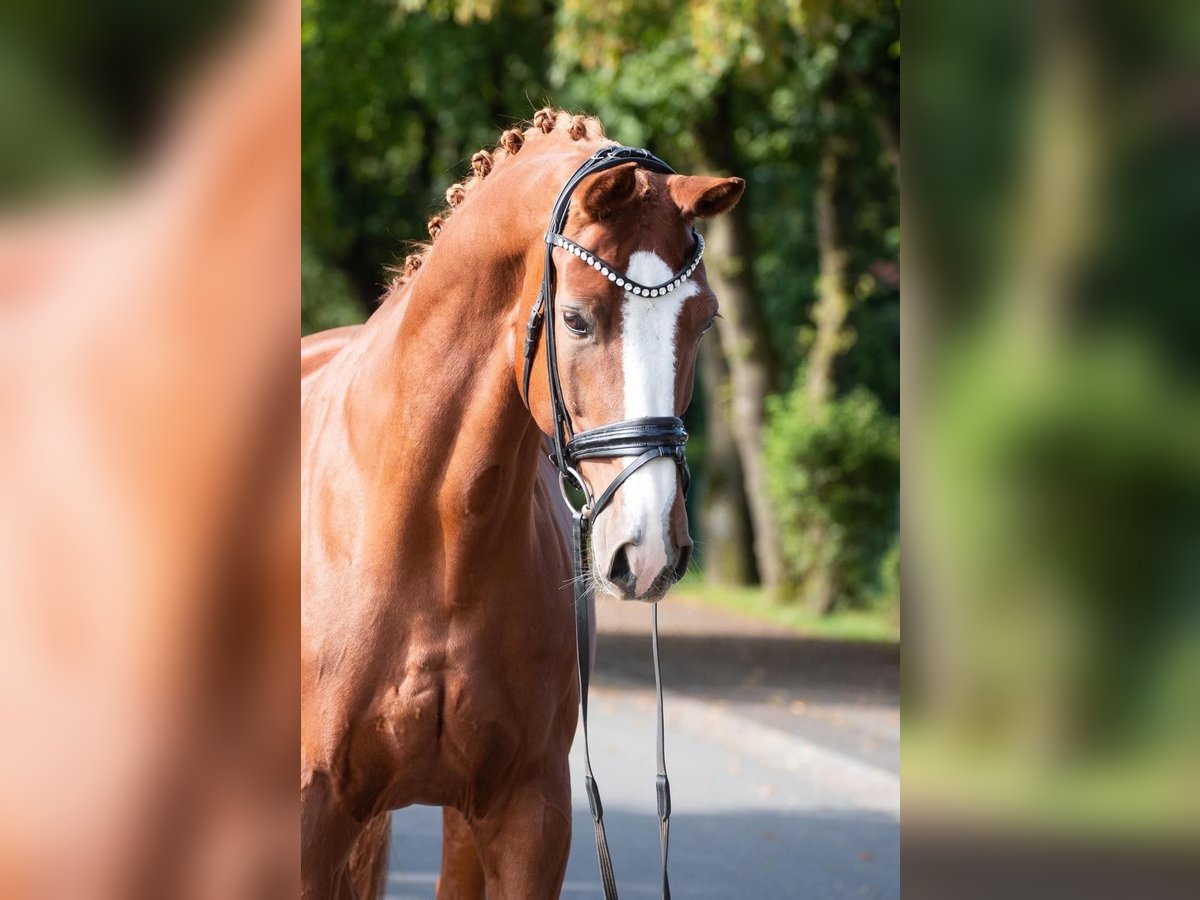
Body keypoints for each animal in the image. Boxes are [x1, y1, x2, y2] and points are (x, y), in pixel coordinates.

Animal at [300, 111, 739, 900]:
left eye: (705, 320)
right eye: (577, 319)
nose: (650, 551)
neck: (432, 542)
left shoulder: (528, 815)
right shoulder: (311, 816)